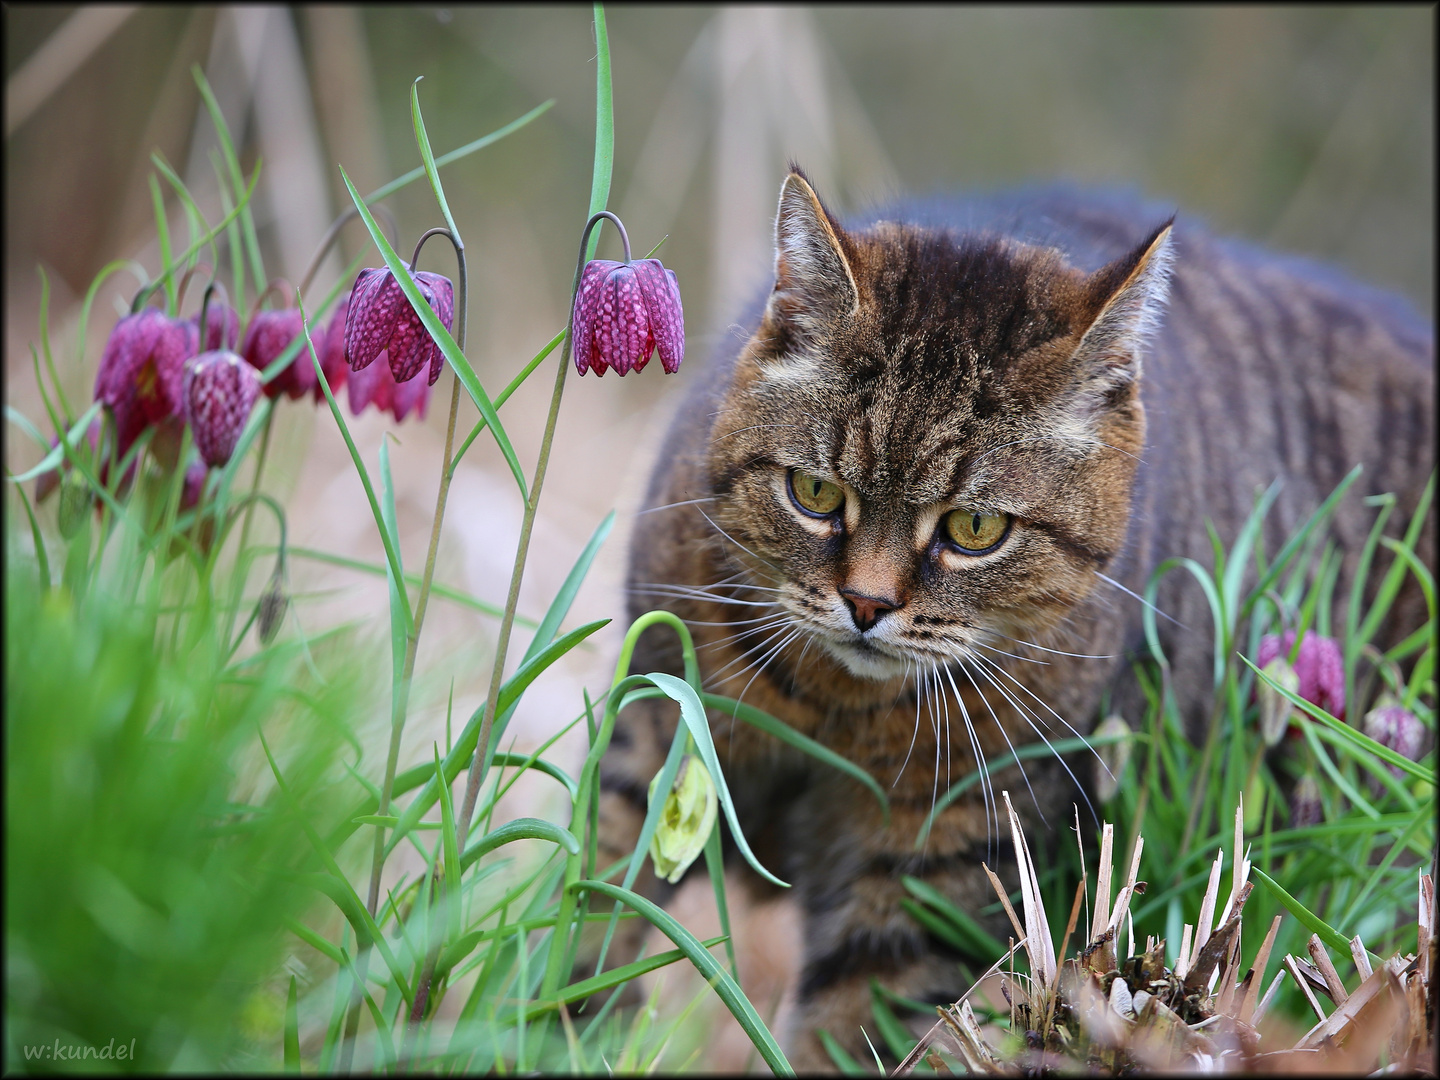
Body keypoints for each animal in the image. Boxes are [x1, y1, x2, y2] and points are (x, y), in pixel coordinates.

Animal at [593, 171, 1428, 1077]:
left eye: (975, 529)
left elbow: (852, 1025)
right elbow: (591, 918)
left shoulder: (945, 849)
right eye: (815, 493)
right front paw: (561, 1032)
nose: (867, 605)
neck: (837, 712)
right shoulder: (651, 733)